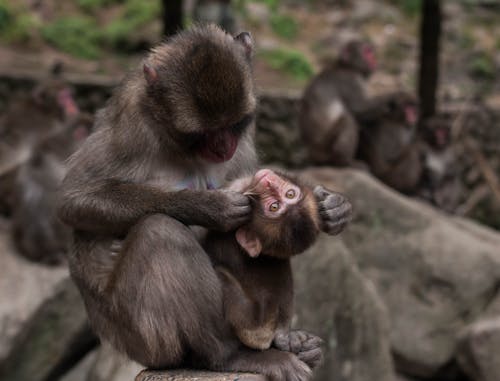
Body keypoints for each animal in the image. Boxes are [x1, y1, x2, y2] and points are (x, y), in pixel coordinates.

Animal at [57, 25, 348, 378]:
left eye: (232, 124)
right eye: (204, 132)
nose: (223, 147)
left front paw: (332, 208)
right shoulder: (130, 122)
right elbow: (76, 199)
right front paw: (209, 207)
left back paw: (293, 343)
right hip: (145, 339)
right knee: (160, 234)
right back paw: (229, 357)